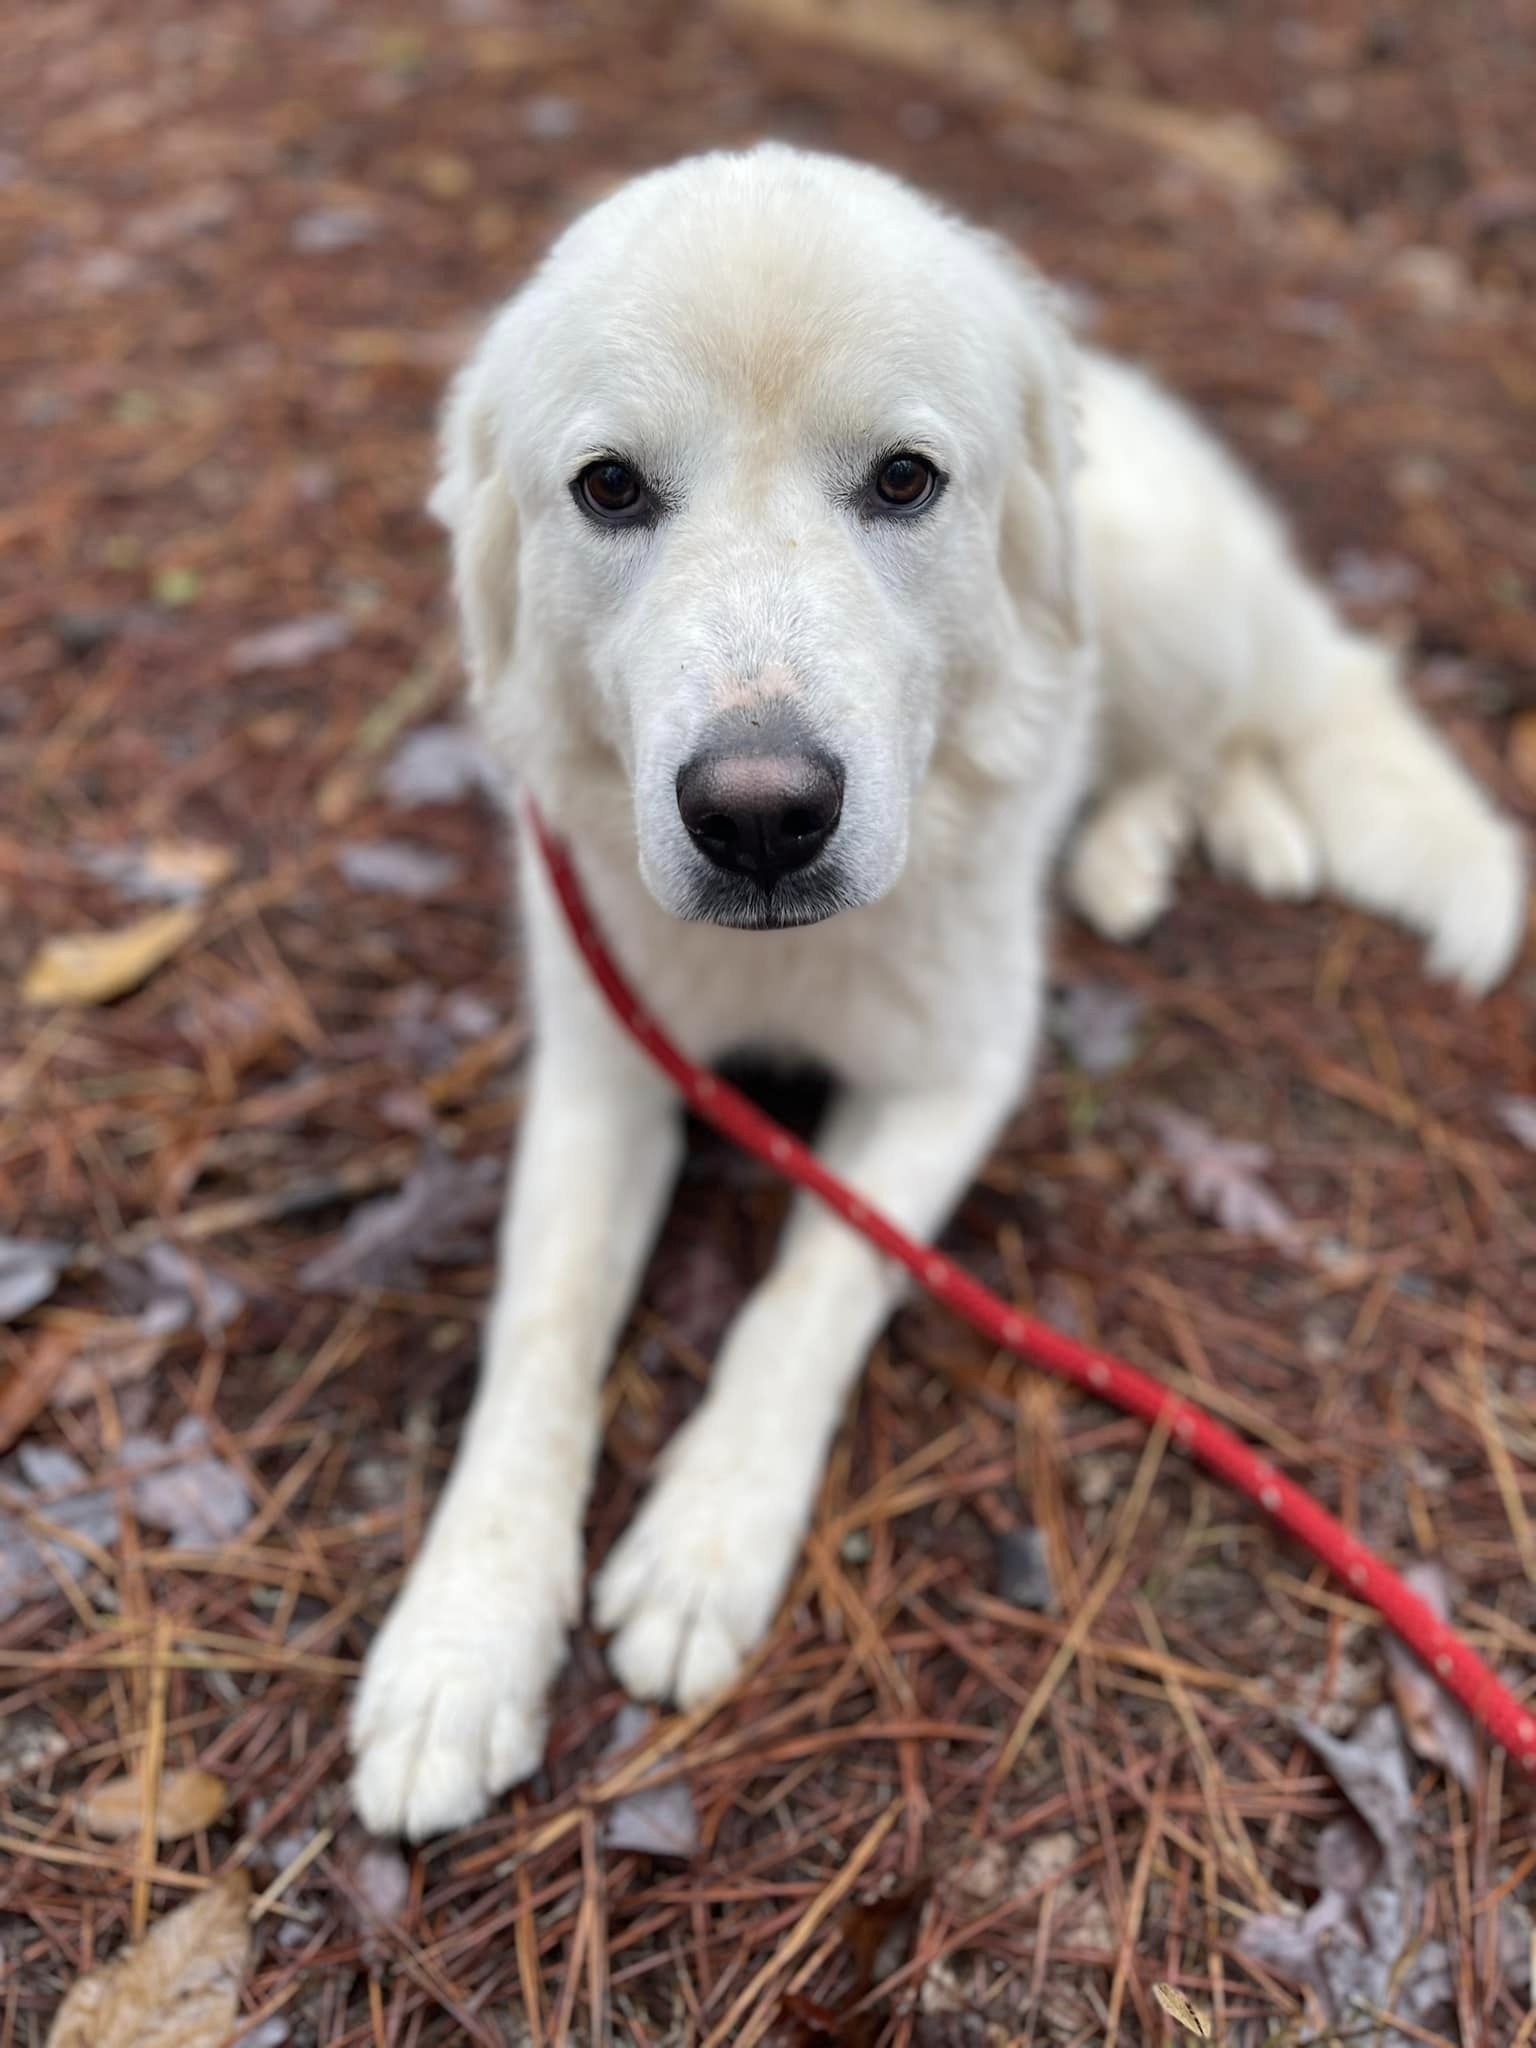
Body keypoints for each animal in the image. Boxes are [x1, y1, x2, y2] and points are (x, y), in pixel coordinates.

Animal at [352, 148, 1536, 1843]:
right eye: (611, 489)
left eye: (904, 481)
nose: (762, 819)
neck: (783, 957)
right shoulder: (605, 1067)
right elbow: (543, 1335)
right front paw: (464, 1637)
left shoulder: (954, 1079)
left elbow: (809, 1291)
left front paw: (706, 1537)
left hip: (1157, 603)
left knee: (1227, 731)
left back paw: (1190, 836)